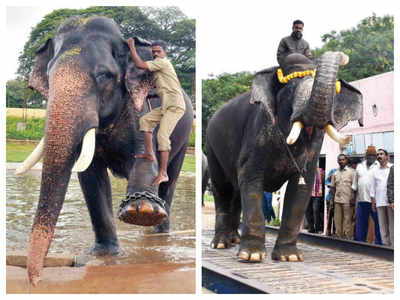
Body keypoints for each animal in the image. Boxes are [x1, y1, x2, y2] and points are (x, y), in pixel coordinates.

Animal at [16, 16, 194, 286]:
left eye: (104, 75)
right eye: (49, 76)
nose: (35, 281)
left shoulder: (140, 108)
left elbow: (145, 159)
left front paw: (141, 210)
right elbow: (90, 177)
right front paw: (105, 254)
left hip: (184, 135)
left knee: (170, 177)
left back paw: (158, 232)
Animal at [206, 51, 362, 262]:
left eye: (335, 94)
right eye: (290, 88)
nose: (343, 56)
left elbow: (301, 187)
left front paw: (290, 257)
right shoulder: (256, 134)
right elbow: (251, 179)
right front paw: (252, 256)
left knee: (236, 191)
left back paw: (234, 240)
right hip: (211, 148)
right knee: (222, 188)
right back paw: (221, 244)